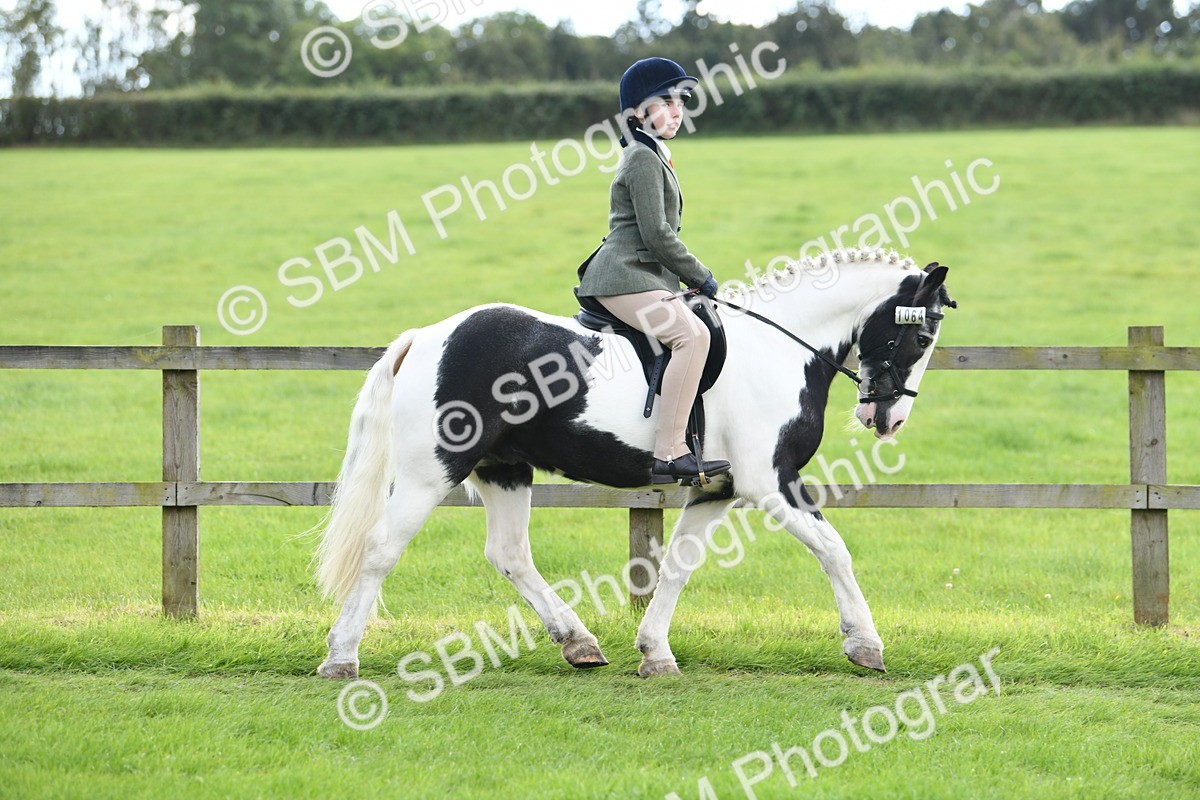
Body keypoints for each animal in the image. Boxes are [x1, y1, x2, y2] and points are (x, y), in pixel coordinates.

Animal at [315, 247, 955, 679]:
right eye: (920, 338)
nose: (887, 419)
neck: (780, 349)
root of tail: (427, 338)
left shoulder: (717, 489)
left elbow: (675, 566)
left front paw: (655, 653)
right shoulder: (770, 482)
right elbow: (834, 550)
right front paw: (865, 644)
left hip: (505, 469)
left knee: (509, 554)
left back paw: (578, 642)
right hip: (431, 472)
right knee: (380, 551)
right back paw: (342, 657)